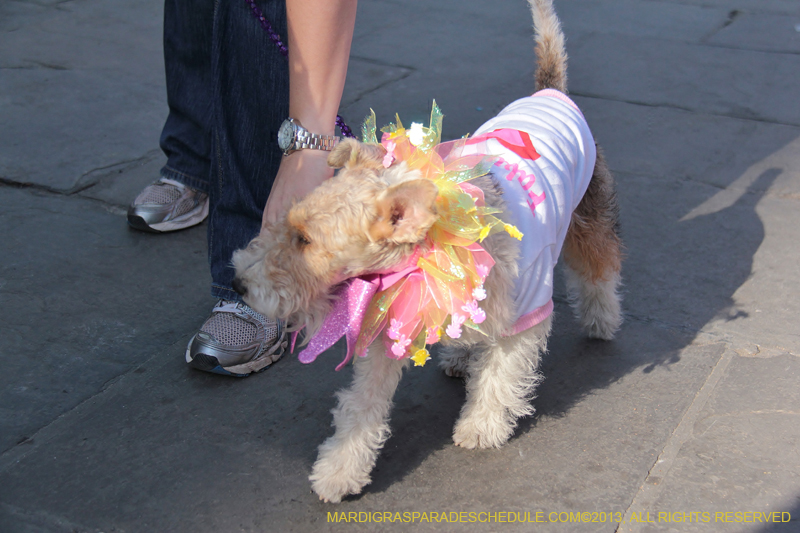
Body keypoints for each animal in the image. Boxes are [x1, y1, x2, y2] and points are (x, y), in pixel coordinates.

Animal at [234, 0, 620, 500]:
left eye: (305, 241)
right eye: (288, 224)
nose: (238, 282)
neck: (429, 253)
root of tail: (550, 92)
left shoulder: (524, 313)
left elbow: (501, 376)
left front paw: (480, 427)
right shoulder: (393, 322)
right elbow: (362, 407)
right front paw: (339, 471)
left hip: (589, 216)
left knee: (599, 269)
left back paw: (602, 320)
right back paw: (458, 356)